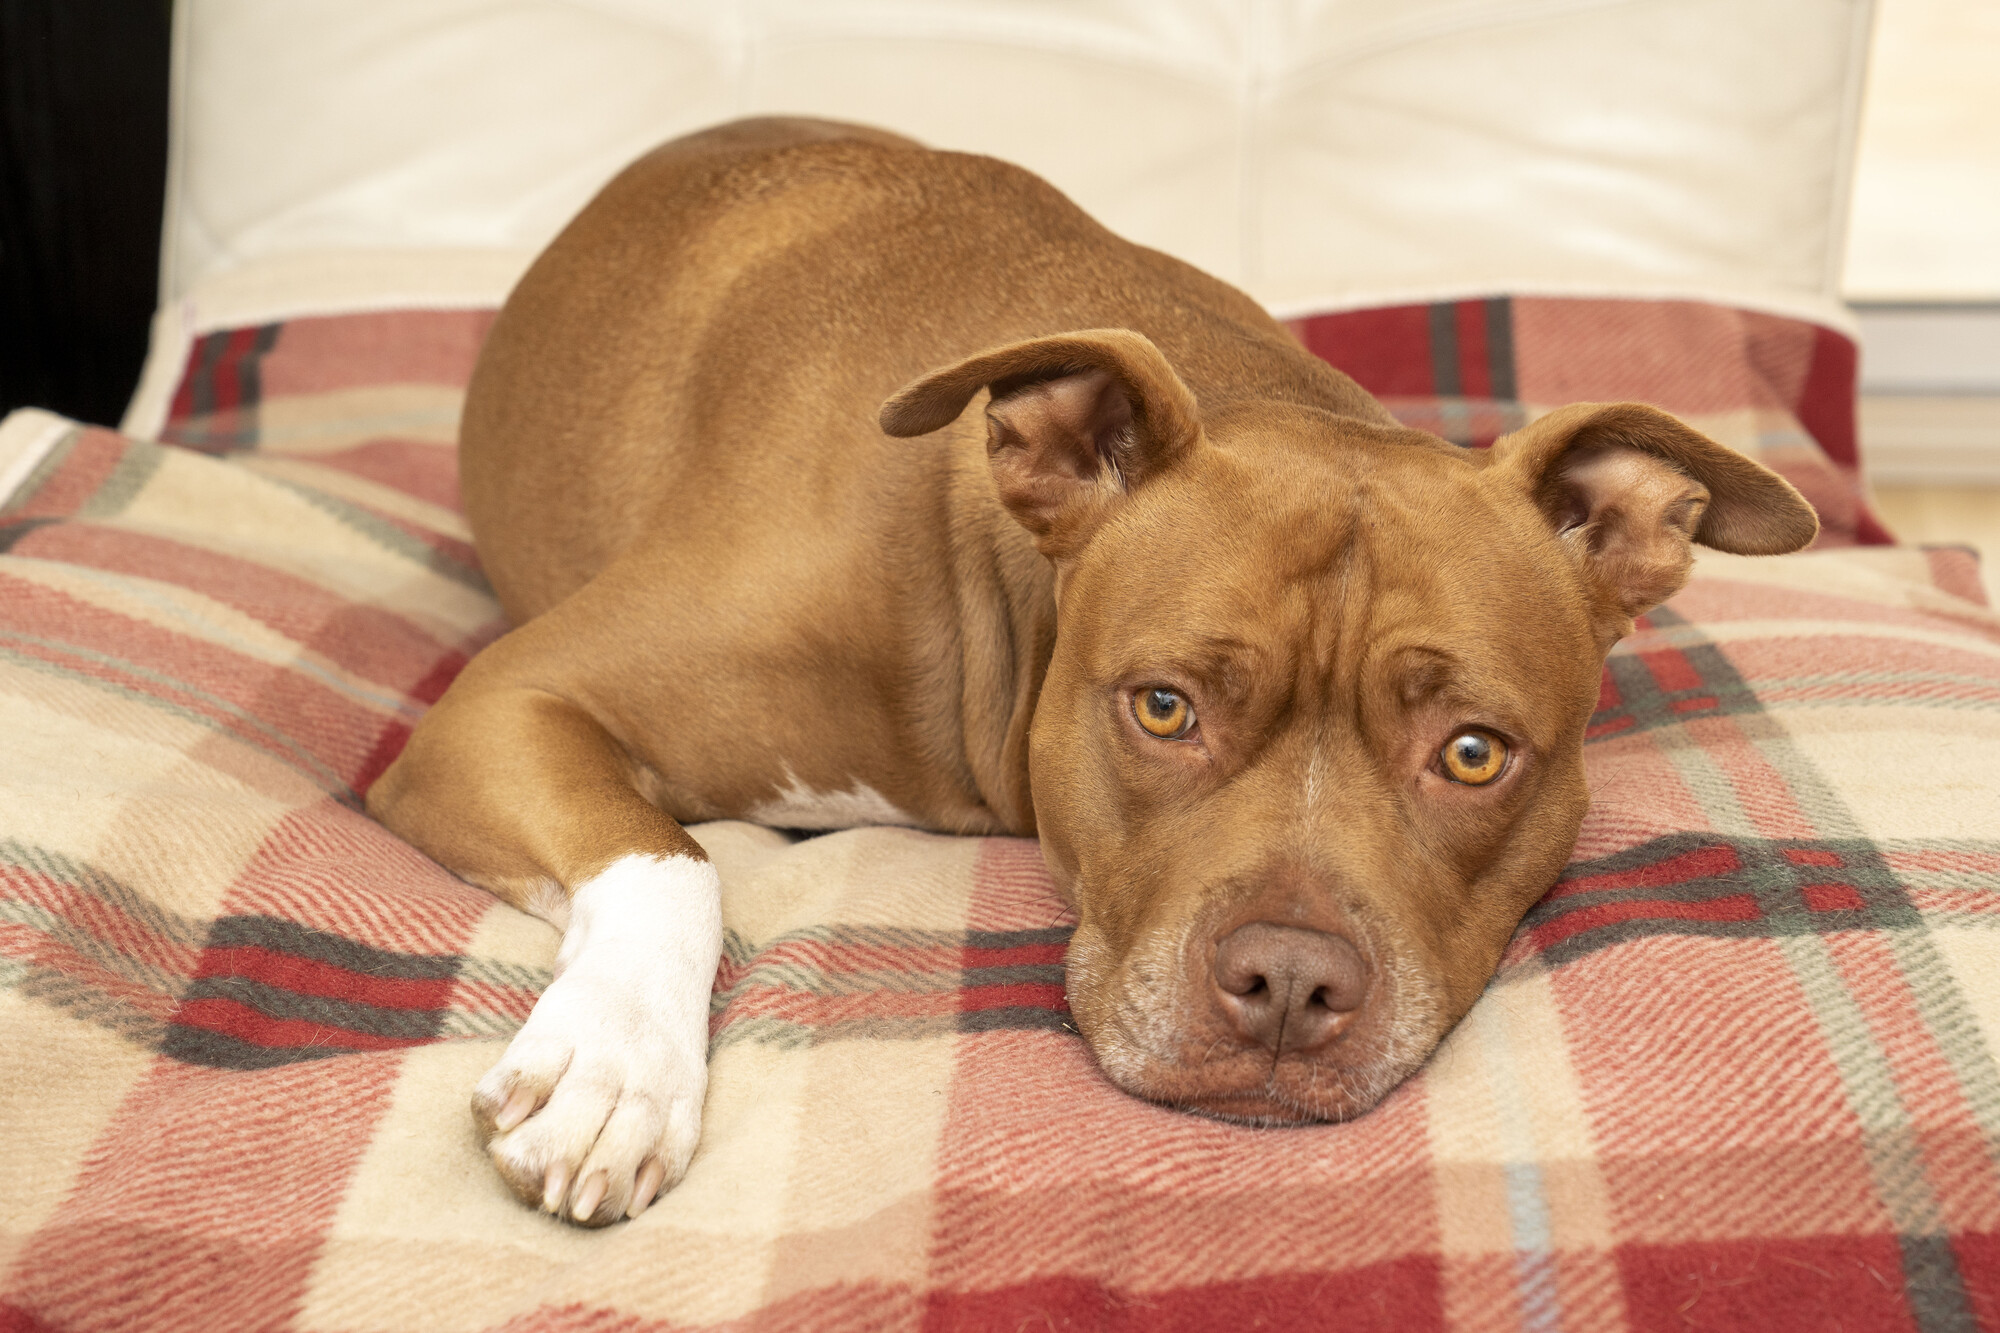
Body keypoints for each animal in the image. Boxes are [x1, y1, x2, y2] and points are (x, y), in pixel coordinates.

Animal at [364, 119, 1816, 1216]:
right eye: (1163, 709)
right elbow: (671, 859)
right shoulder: (503, 703)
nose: (1289, 986)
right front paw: (616, 1065)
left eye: (1472, 753)